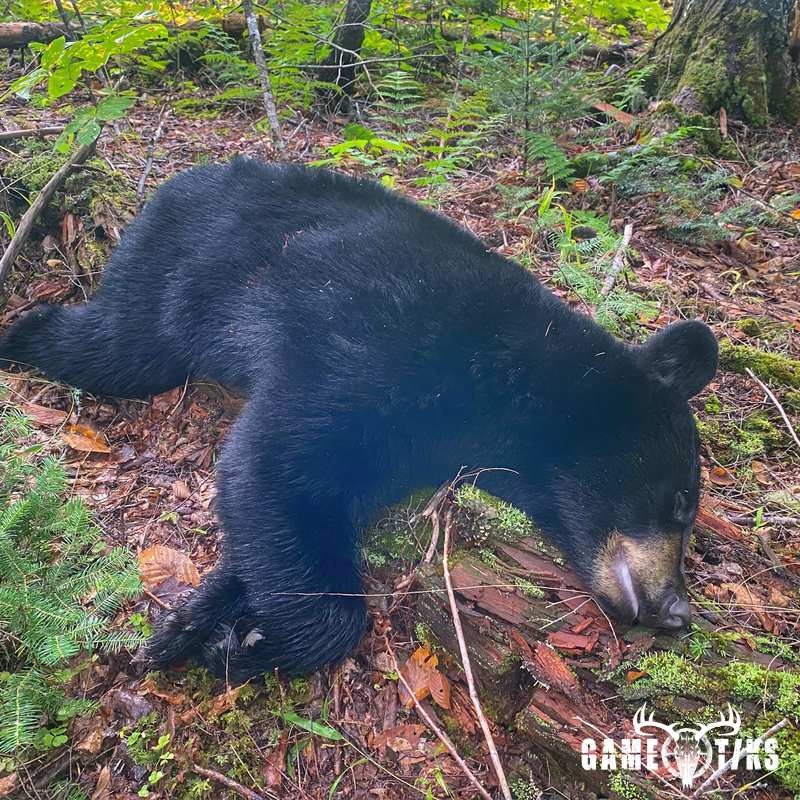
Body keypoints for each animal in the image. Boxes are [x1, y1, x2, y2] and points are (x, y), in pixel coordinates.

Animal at [0, 158, 718, 682]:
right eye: (681, 500)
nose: (677, 610)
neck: (515, 386)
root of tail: (181, 178)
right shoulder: (380, 351)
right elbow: (272, 463)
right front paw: (254, 645)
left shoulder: (411, 446)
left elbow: (288, 513)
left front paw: (203, 622)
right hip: (174, 278)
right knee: (109, 343)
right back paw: (23, 332)